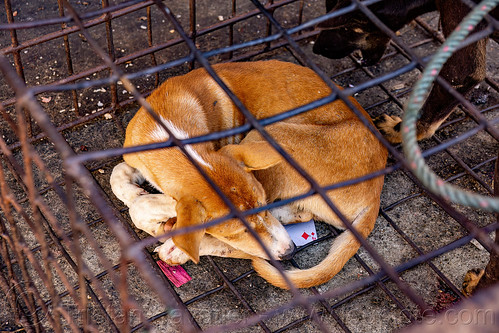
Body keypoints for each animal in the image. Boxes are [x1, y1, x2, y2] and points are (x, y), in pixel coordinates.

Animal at [111, 59, 388, 288]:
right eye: (239, 232)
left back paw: (174, 246)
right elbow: (118, 174)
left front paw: (157, 217)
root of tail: (375, 194)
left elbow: (150, 206)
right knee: (303, 213)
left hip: (273, 133)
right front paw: (134, 192)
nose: (290, 252)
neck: (173, 135)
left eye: (262, 205)